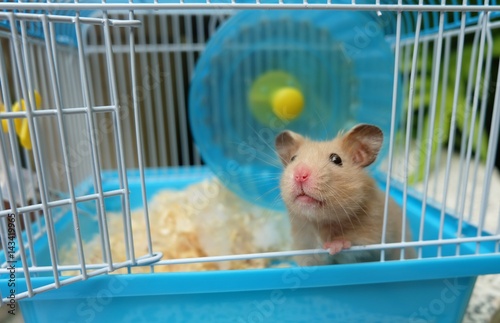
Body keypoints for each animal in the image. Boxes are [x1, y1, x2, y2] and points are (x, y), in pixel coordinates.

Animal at [274, 124, 414, 266]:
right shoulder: (304, 249)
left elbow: (353, 247)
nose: (300, 175)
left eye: (336, 159)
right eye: (293, 159)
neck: (320, 224)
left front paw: (333, 246)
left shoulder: (372, 240)